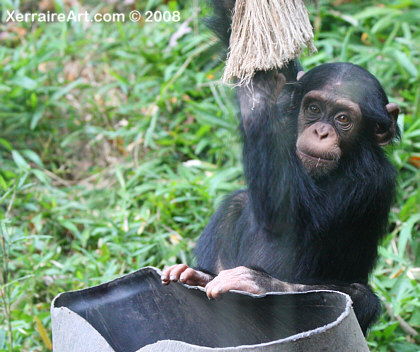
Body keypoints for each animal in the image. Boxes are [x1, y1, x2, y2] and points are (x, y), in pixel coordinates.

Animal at [162, 0, 400, 336]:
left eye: (343, 118)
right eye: (313, 108)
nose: (321, 131)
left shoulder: (368, 180)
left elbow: (287, 216)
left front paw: (259, 91)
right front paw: (263, 75)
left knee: (359, 296)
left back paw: (260, 283)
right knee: (238, 202)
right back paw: (199, 276)